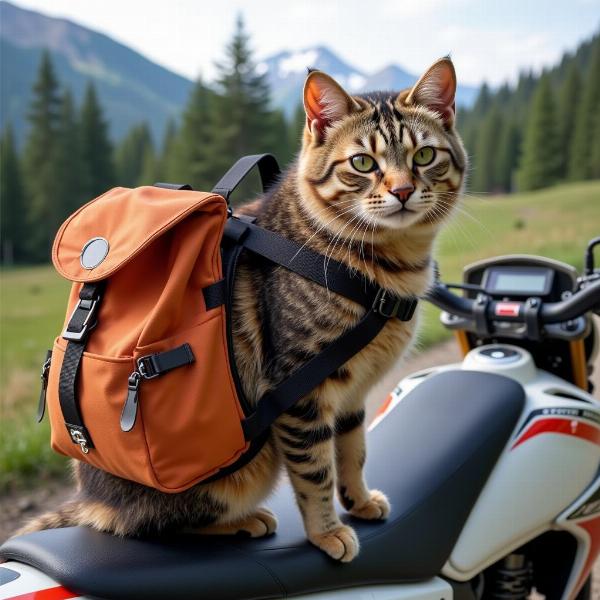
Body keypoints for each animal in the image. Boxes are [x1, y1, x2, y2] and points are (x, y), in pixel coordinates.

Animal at [16, 56, 468, 564]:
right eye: (363, 163)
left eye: (424, 156)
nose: (404, 190)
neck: (387, 268)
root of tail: (90, 498)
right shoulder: (300, 390)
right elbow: (316, 472)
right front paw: (327, 531)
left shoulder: (352, 396)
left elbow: (353, 451)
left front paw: (359, 500)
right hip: (239, 473)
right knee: (147, 526)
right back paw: (243, 521)